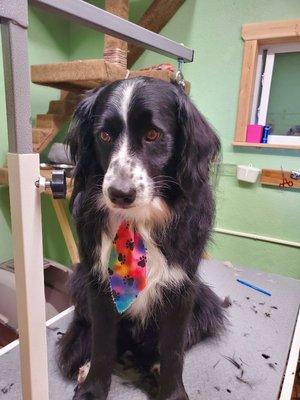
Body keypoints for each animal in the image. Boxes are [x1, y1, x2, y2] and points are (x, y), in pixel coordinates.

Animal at [57, 76, 225, 400]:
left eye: (153, 134)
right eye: (104, 135)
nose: (120, 194)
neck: (137, 220)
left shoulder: (181, 288)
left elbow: (173, 349)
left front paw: (173, 392)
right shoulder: (99, 284)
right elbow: (102, 342)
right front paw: (92, 388)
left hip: (205, 299)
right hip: (79, 282)